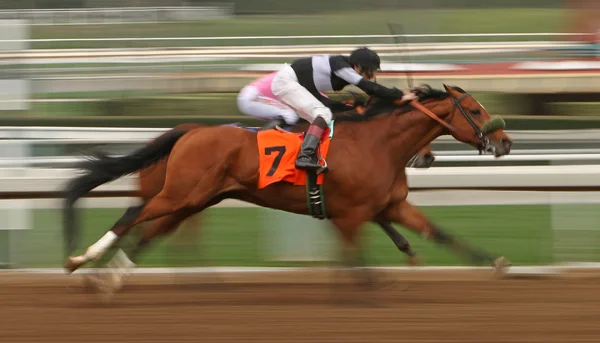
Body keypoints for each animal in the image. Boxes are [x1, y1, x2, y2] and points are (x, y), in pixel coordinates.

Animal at [65, 84, 512, 292]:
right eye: (475, 111)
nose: (505, 142)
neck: (377, 143)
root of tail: (188, 132)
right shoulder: (350, 215)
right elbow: (358, 261)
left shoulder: (390, 207)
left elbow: (440, 233)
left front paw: (496, 263)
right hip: (180, 195)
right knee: (133, 215)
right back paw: (80, 260)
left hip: (192, 200)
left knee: (150, 232)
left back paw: (109, 279)